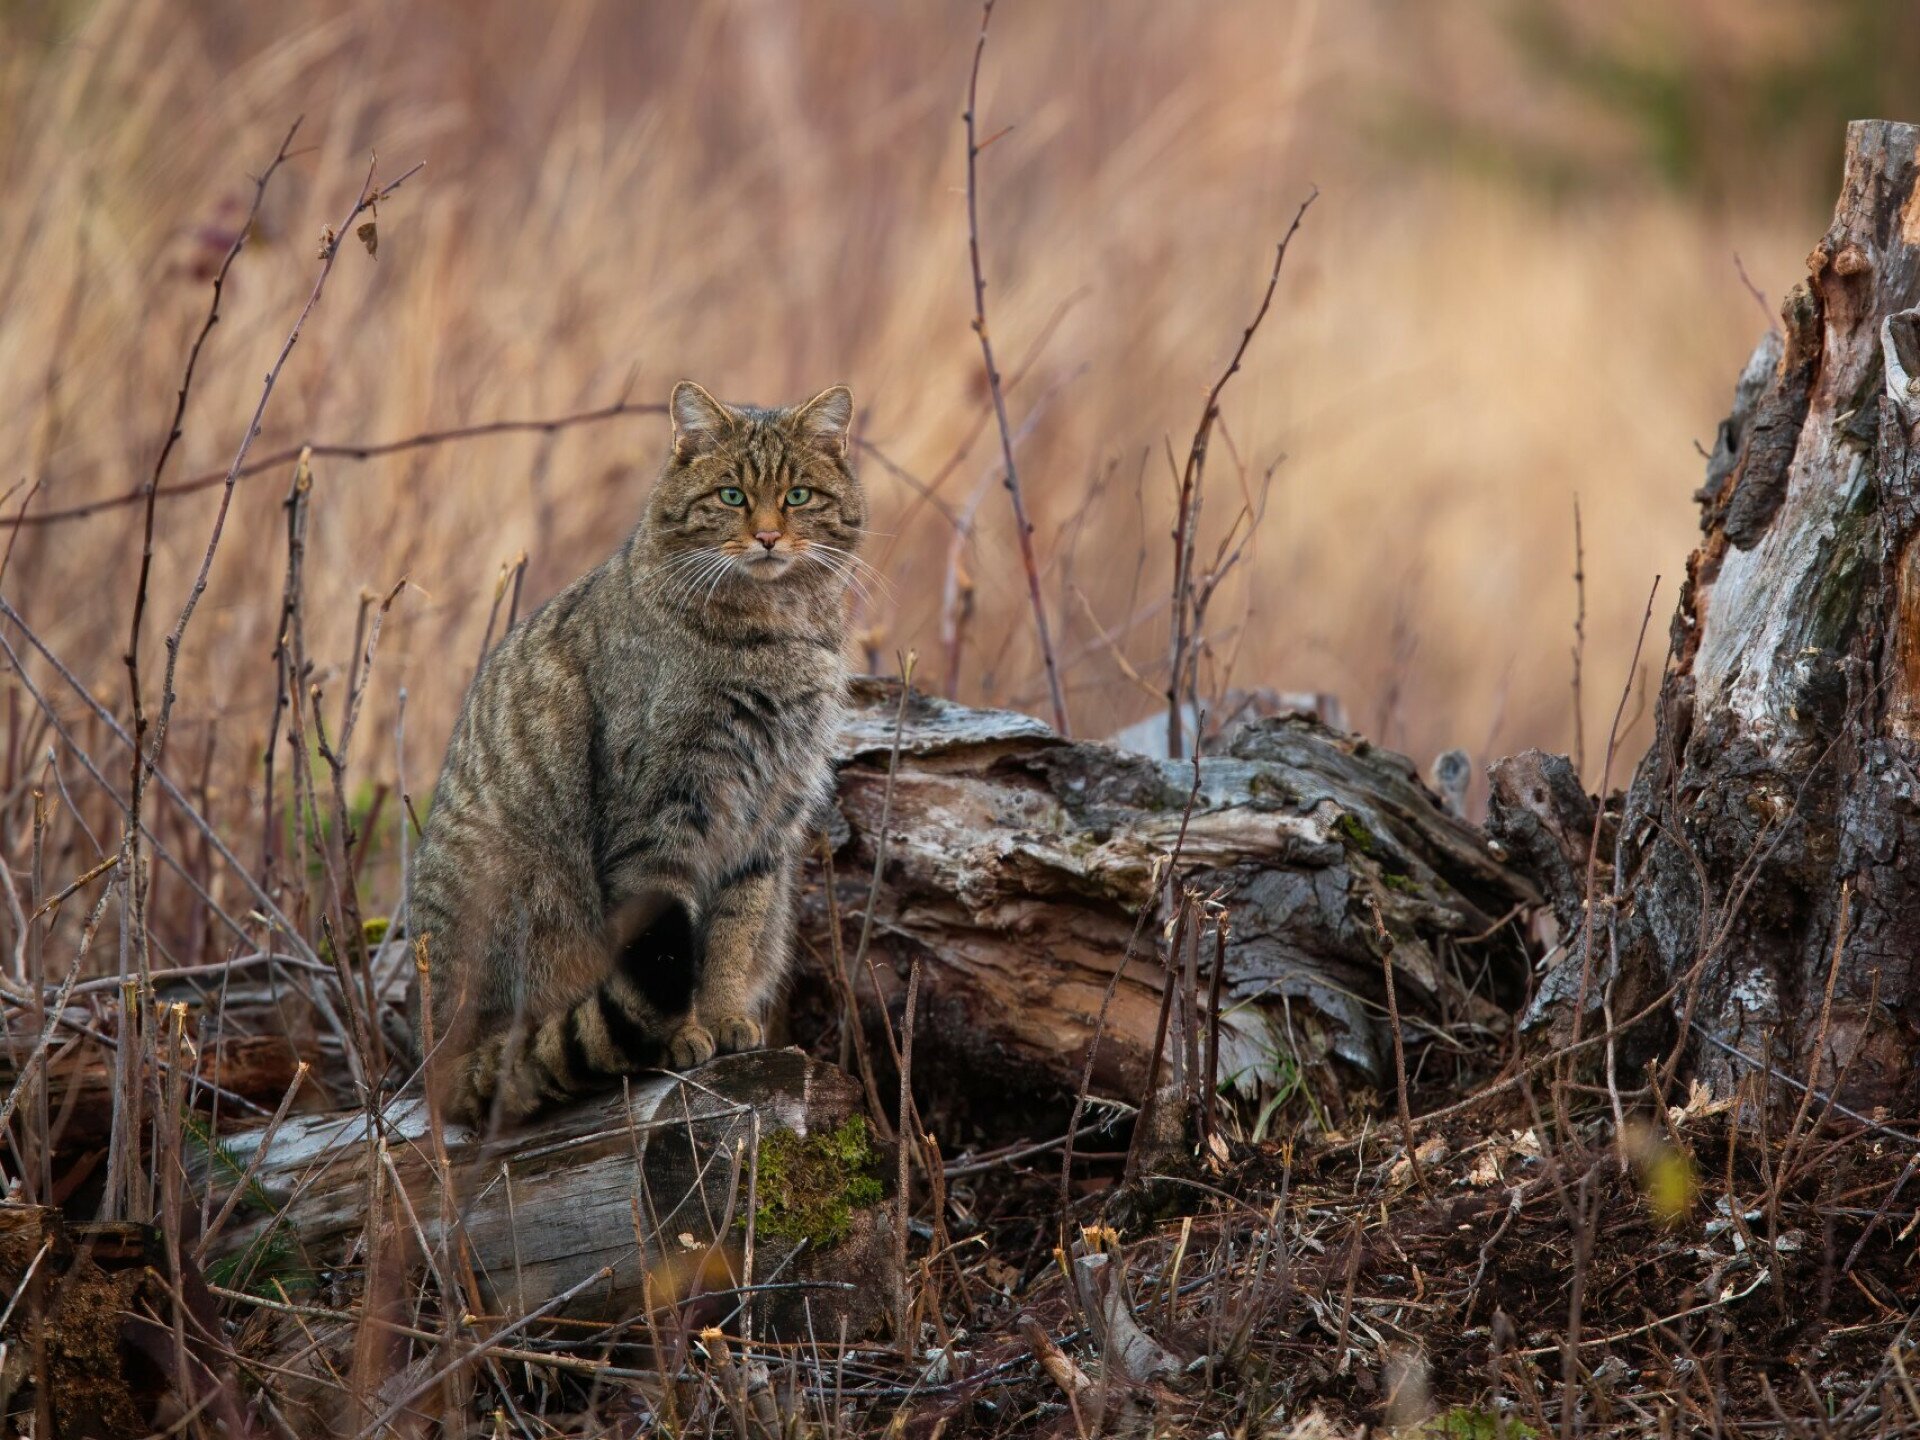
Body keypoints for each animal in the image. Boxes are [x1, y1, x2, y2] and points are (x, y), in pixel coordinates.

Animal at [414, 380, 871, 1128]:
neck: (774, 629)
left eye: (798, 495)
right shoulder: (661, 809)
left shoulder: (766, 819)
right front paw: (686, 1033)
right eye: (732, 496)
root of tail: (435, 1060)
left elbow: (733, 931)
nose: (768, 535)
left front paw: (724, 1017)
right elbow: (664, 934)